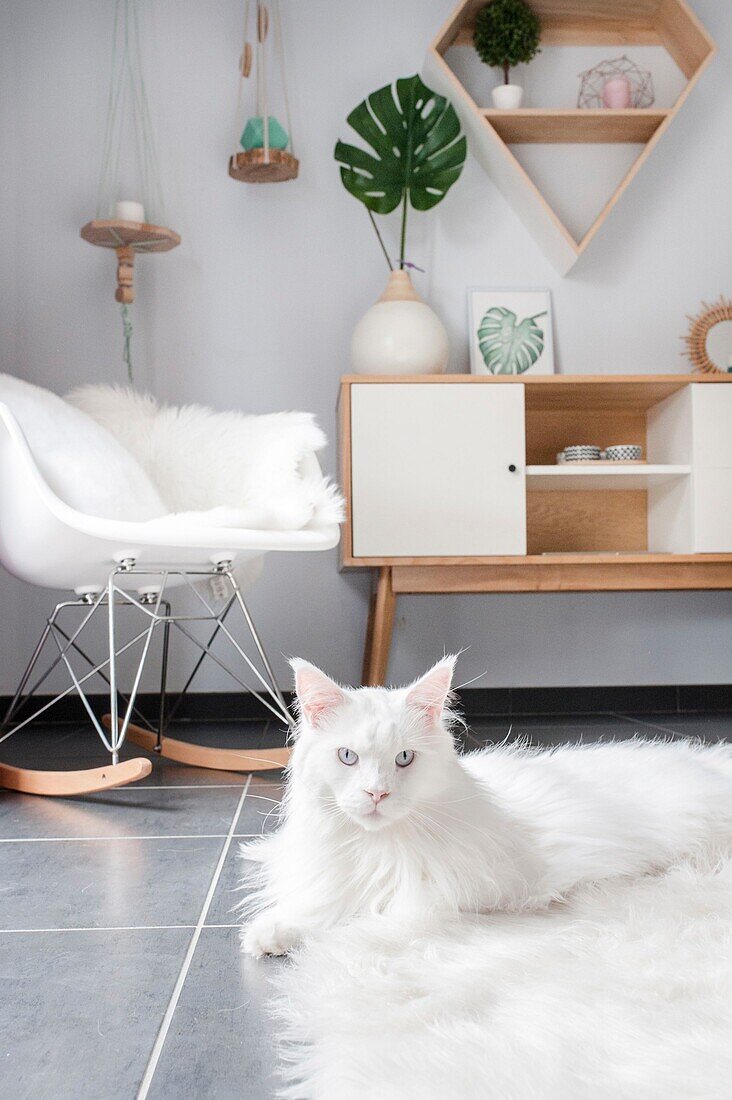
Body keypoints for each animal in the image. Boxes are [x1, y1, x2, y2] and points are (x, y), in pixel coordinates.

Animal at [241, 655, 730, 959]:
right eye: (348, 757)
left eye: (404, 758)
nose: (377, 794)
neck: (376, 848)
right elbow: (324, 902)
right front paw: (273, 931)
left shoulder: (440, 899)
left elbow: (356, 915)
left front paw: (285, 931)